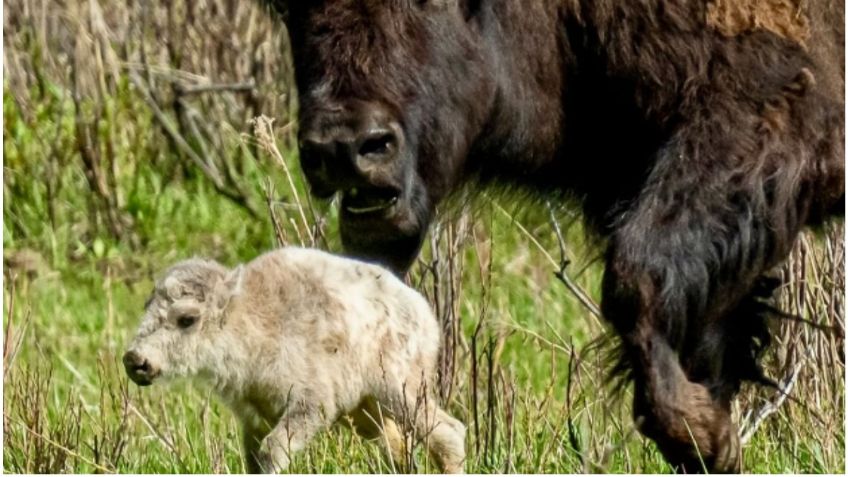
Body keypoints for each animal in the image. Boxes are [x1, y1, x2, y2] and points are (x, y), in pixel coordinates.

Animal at [123, 249, 468, 472]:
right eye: (147, 307)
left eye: (187, 319)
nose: (135, 359)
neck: (252, 319)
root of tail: (423, 311)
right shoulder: (254, 418)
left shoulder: (310, 404)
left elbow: (272, 453)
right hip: (367, 411)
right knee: (398, 448)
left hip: (400, 389)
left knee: (448, 433)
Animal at [264, 0, 840, 472]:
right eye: (287, 4)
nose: (346, 147)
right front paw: (713, 436)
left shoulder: (759, 120)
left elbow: (636, 277)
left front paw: (699, 432)